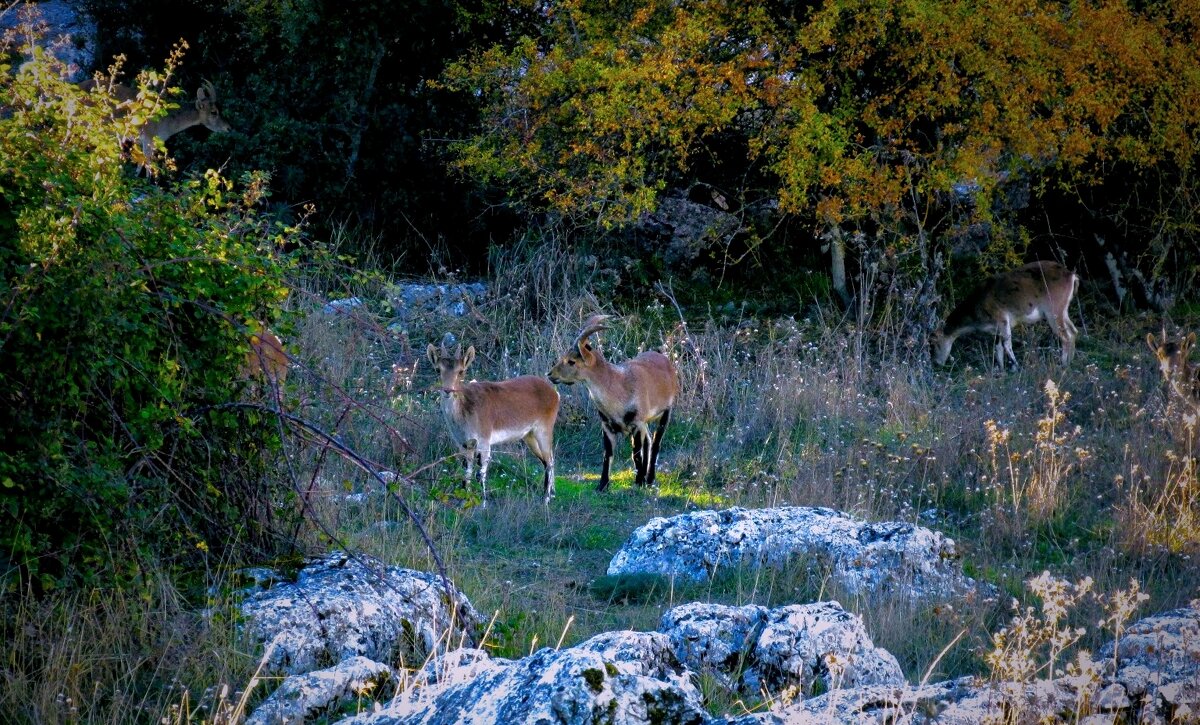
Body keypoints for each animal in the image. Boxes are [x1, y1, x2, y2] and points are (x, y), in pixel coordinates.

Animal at [429, 340, 559, 504]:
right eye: (437, 369)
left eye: (461, 371)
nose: (448, 390)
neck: (466, 412)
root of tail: (555, 393)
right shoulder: (464, 444)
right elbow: (467, 472)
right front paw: (465, 500)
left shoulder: (484, 441)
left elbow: (481, 474)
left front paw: (483, 503)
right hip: (529, 436)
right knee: (548, 459)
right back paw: (552, 493)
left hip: (544, 429)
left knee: (549, 461)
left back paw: (546, 499)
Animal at [549, 316, 681, 492]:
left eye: (571, 361)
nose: (550, 375)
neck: (619, 388)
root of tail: (666, 361)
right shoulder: (608, 426)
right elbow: (608, 455)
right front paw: (602, 485)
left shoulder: (636, 423)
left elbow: (636, 453)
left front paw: (638, 482)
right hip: (645, 422)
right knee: (648, 441)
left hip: (666, 412)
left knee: (655, 443)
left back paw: (649, 478)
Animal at [926, 260, 1080, 372]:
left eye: (933, 344)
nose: (936, 363)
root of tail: (1072, 276)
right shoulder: (996, 328)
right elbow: (998, 346)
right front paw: (1000, 369)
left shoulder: (1002, 318)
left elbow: (1007, 343)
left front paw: (1015, 366)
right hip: (1063, 310)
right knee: (1073, 330)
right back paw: (1070, 361)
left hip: (1053, 309)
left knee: (1066, 335)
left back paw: (1063, 364)